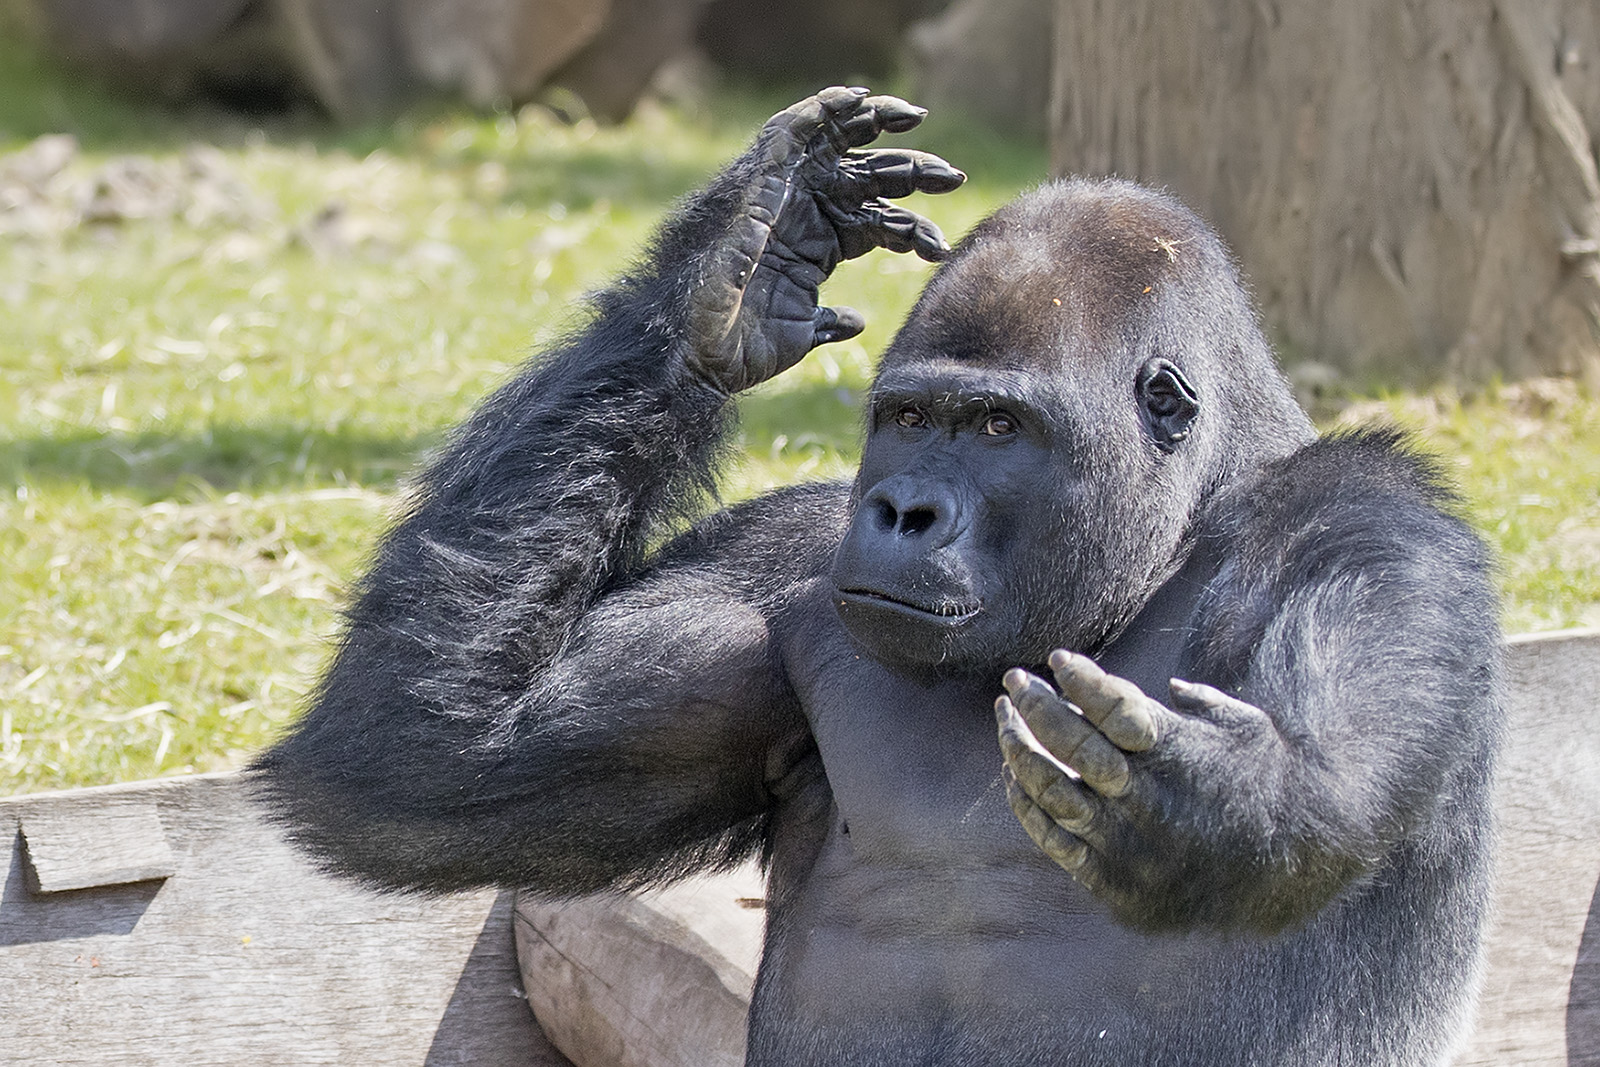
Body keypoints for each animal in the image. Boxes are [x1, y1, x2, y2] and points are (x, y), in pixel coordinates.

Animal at [256, 91, 1504, 1067]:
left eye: (996, 425)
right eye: (907, 416)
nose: (904, 508)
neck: (1166, 545)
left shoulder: (1369, 524)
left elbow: (1320, 795)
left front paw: (1207, 797)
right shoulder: (786, 562)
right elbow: (431, 757)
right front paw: (747, 247)